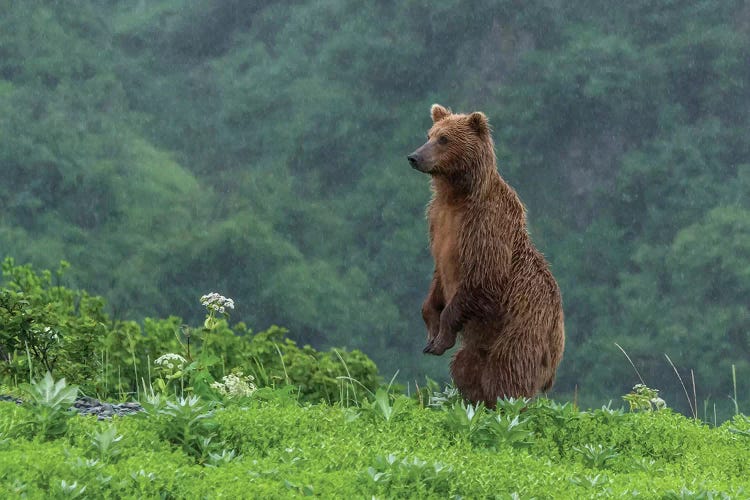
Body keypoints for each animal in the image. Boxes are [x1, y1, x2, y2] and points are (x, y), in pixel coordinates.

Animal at [408, 103, 568, 408]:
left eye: (444, 139)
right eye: (429, 134)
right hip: (479, 346)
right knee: (465, 367)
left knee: (506, 371)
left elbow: (483, 277)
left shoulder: (484, 227)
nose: (414, 157)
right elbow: (436, 280)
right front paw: (431, 334)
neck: (457, 196)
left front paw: (441, 337)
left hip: (521, 330)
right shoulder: (437, 222)